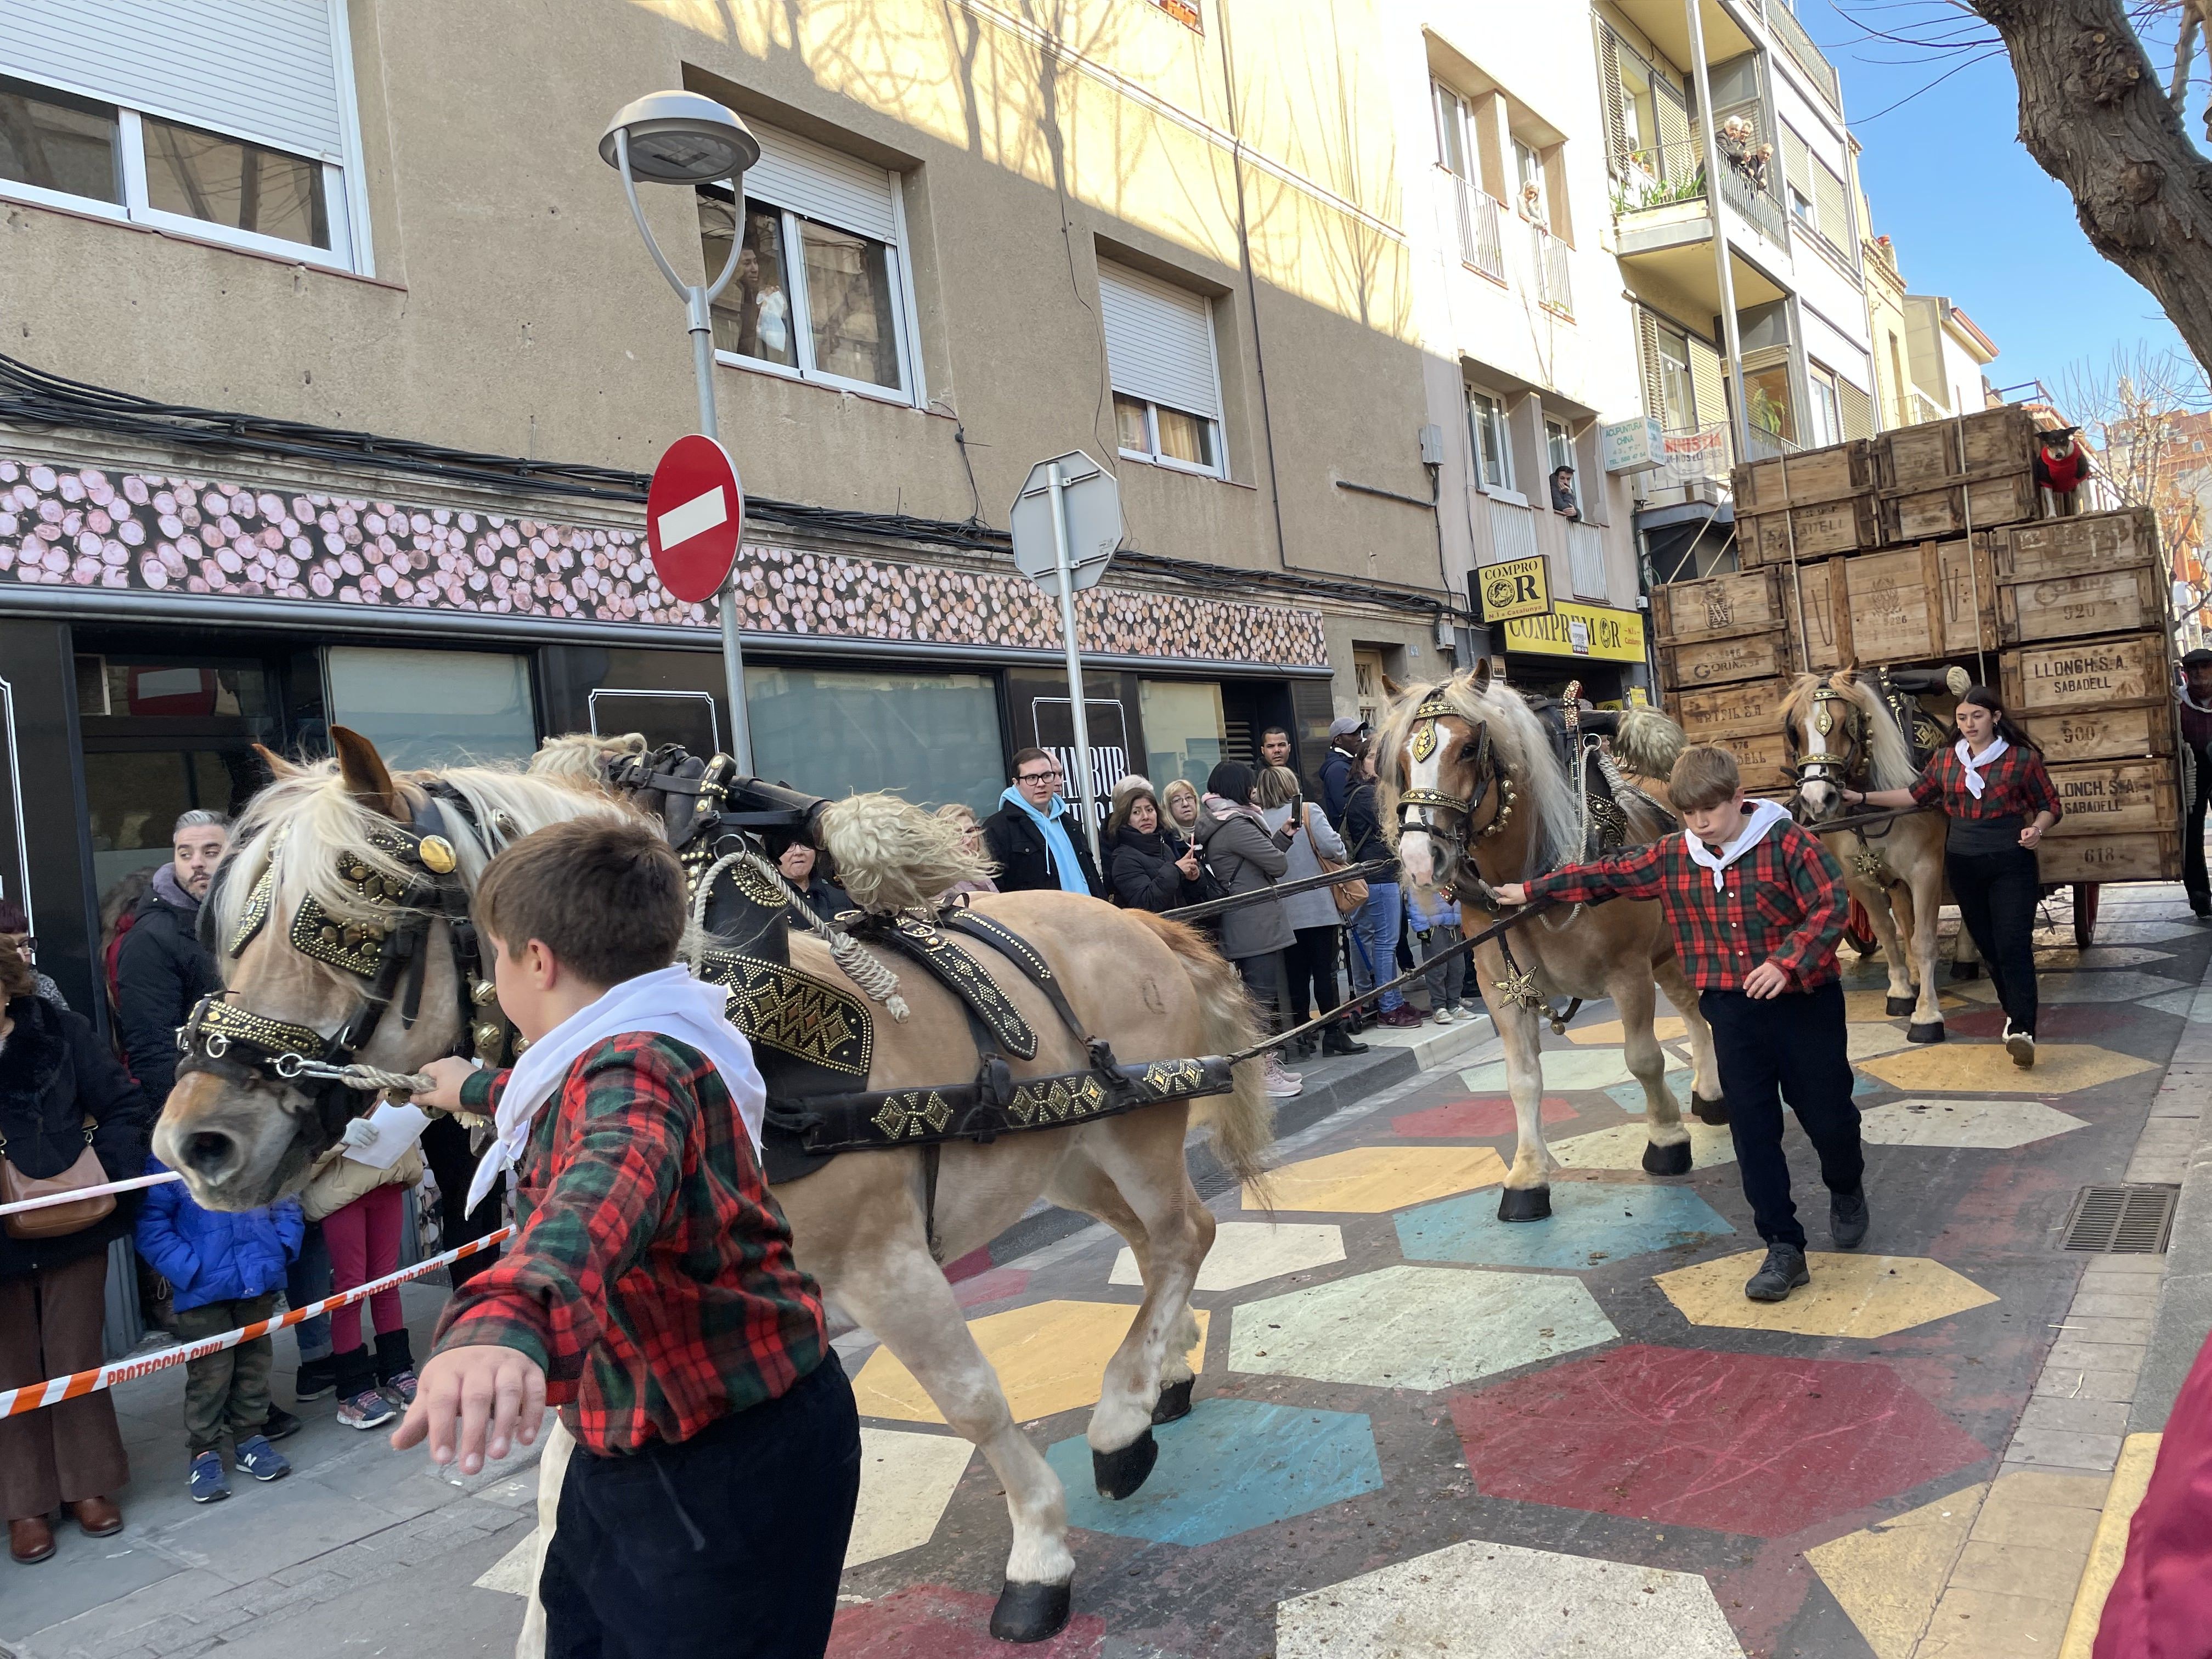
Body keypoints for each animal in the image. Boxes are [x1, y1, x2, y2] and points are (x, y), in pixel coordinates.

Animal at [151, 730, 1265, 1654]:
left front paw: (1038, 1553)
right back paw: (1160, 1379)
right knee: (1171, 1238)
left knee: (1181, 1235)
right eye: (232, 928)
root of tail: (1137, 922)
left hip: (1131, 1133)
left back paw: (1121, 1421)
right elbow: (555, 1493)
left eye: (344, 924)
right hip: (1071, 1153)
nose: (193, 1141)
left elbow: (973, 1400)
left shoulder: (885, 1260)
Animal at [1380, 663, 1725, 1221]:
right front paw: (1527, 1177)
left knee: (1700, 1007)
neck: (1532, 868)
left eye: (1469, 748)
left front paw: (1667, 1140)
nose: (1419, 859)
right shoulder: (1503, 987)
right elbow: (1522, 1079)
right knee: (1693, 1010)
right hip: (1666, 954)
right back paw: (1709, 1092)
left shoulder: (1629, 972)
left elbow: (1643, 1058)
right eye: (1400, 761)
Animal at [1787, 672, 1946, 1040]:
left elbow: (1925, 939)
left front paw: (1927, 1015)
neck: (1870, 804)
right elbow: (1886, 929)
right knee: (1902, 914)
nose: (1818, 800)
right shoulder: (1856, 877)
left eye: (1847, 724)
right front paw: (1901, 991)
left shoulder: (1927, 870)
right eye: (1796, 730)